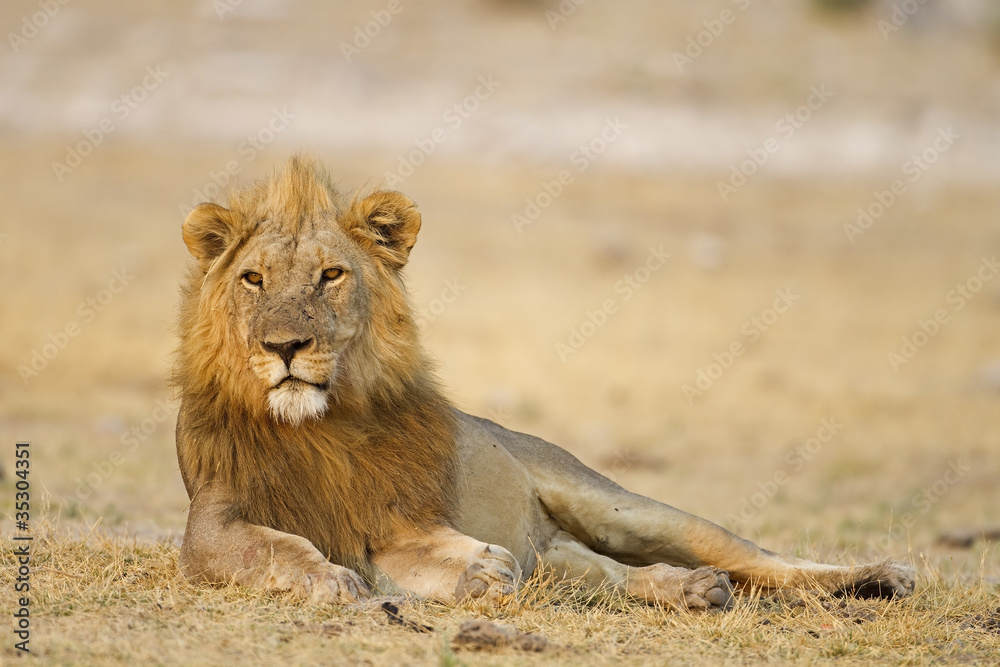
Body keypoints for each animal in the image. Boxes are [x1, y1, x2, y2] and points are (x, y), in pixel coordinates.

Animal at [174, 155, 915, 611]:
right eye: (254, 279)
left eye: (331, 275)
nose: (284, 346)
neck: (319, 423)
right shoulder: (212, 516)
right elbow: (269, 544)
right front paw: (331, 578)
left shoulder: (396, 513)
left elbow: (416, 549)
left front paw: (475, 567)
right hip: (564, 554)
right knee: (615, 575)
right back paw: (690, 591)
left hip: (627, 508)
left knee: (767, 561)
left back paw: (882, 575)